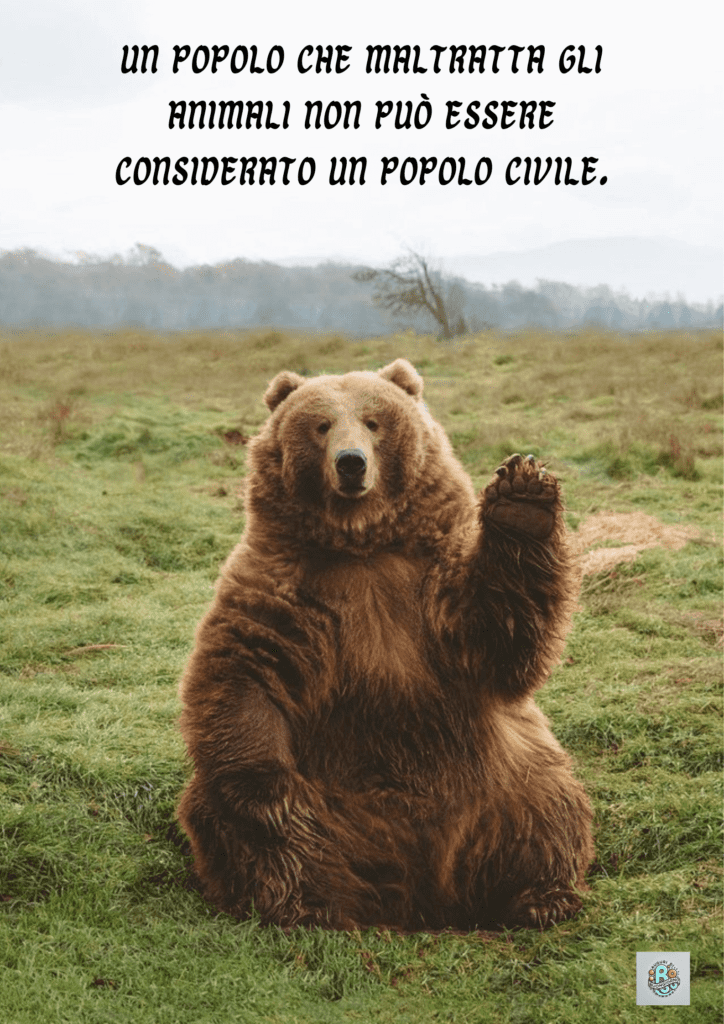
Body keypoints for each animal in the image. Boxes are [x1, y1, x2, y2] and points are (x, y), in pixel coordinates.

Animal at [176, 358, 593, 931]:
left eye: (374, 422)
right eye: (321, 424)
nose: (351, 463)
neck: (362, 545)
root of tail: (420, 889)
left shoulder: (431, 588)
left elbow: (500, 634)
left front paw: (522, 499)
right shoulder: (282, 589)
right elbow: (243, 673)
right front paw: (269, 792)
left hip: (502, 782)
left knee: (547, 806)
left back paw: (538, 897)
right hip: (334, 804)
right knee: (250, 833)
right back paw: (305, 903)